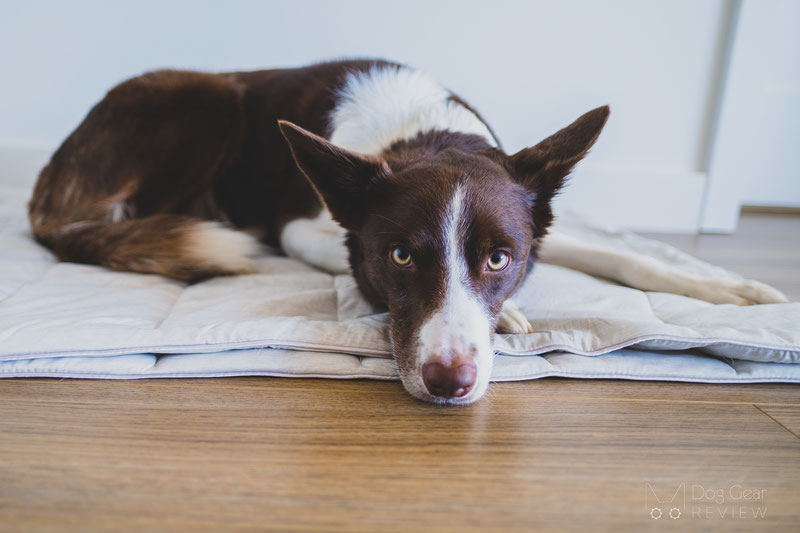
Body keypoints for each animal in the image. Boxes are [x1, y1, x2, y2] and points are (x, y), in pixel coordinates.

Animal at [29, 58, 788, 404]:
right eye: (398, 255)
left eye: (499, 258)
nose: (449, 382)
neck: (425, 134)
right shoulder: (301, 230)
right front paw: (512, 316)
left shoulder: (535, 217)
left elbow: (615, 254)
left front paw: (731, 291)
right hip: (208, 100)